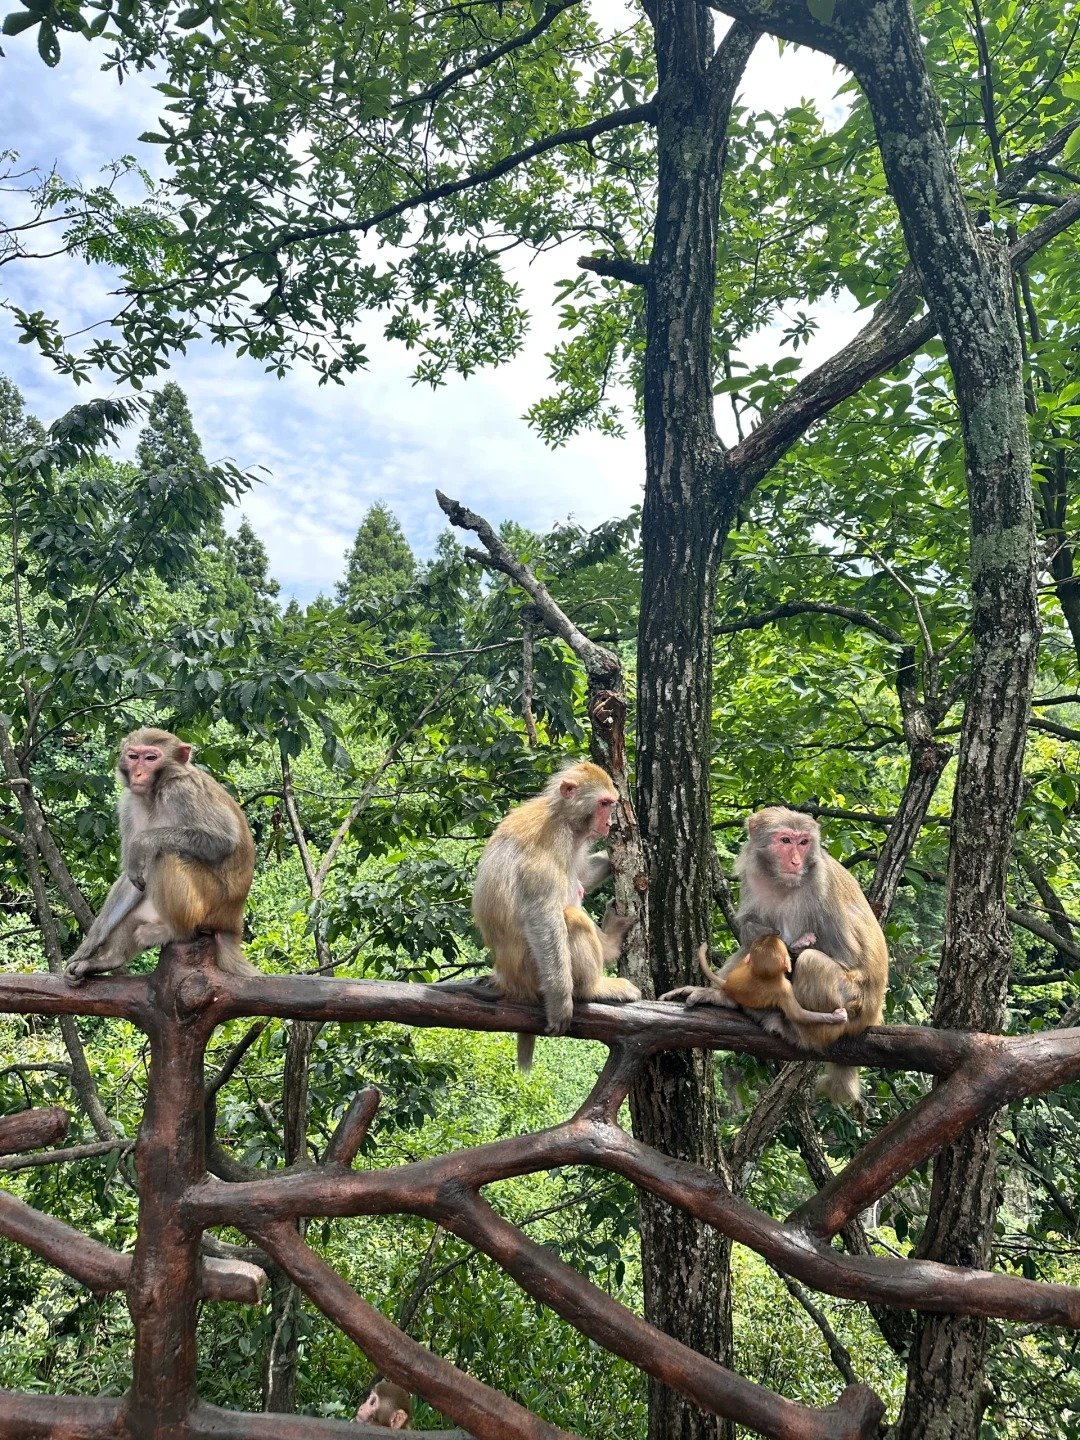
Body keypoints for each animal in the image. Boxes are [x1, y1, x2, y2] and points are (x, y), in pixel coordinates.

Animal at [65, 728, 256, 985]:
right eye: (133, 756)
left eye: (151, 758)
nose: (138, 773)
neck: (155, 793)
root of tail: (233, 921)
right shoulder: (129, 804)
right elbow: (132, 876)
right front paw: (88, 946)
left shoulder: (183, 791)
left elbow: (224, 841)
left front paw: (142, 842)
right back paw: (109, 959)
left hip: (212, 903)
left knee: (165, 856)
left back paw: (176, 932)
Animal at [468, 761, 641, 1070]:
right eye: (604, 804)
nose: (609, 824)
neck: (564, 816)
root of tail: (506, 978)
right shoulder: (551, 841)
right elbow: (543, 917)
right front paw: (561, 1004)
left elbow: (583, 874)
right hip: (531, 974)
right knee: (571, 918)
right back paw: (593, 988)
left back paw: (609, 943)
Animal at [701, 933, 850, 1028]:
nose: (773, 934)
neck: (764, 976)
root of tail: (727, 984)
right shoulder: (785, 989)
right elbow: (799, 1015)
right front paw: (836, 1017)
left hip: (739, 971)